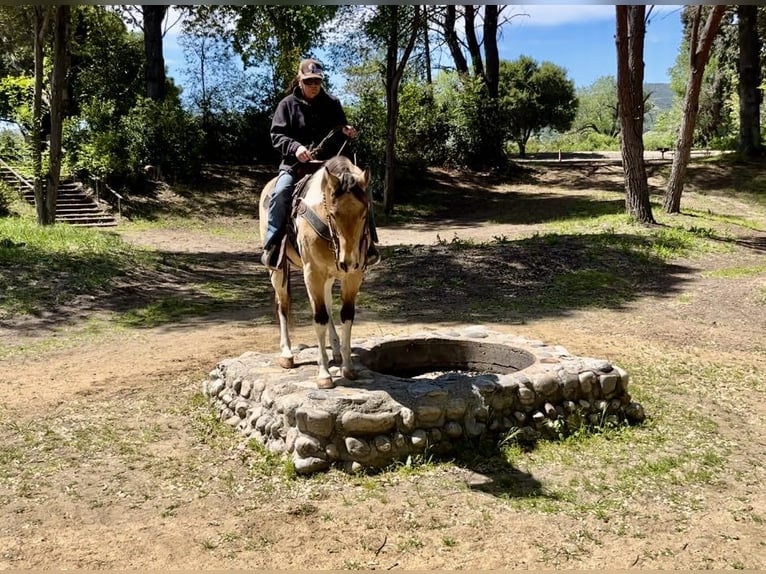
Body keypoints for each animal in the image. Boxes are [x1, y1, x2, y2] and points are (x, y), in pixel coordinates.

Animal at [260, 155, 374, 392]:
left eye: (364, 213)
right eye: (333, 214)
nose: (348, 261)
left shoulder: (353, 276)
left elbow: (346, 315)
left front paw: (347, 367)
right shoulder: (312, 274)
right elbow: (319, 318)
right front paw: (324, 374)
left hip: (330, 276)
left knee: (329, 305)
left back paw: (336, 350)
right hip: (278, 270)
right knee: (283, 305)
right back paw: (287, 354)